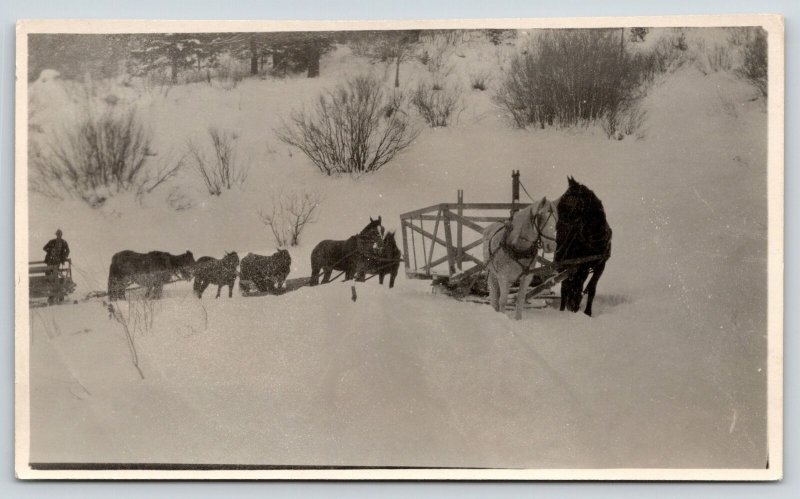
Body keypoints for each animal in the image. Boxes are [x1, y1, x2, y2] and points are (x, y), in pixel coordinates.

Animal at [556, 177, 612, 316]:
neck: (594, 239)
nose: (558, 227)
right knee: (565, 287)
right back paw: (563, 309)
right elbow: (573, 287)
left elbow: (591, 288)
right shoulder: (580, 265)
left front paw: (587, 312)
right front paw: (574, 307)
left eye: (568, 206)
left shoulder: (600, 265)